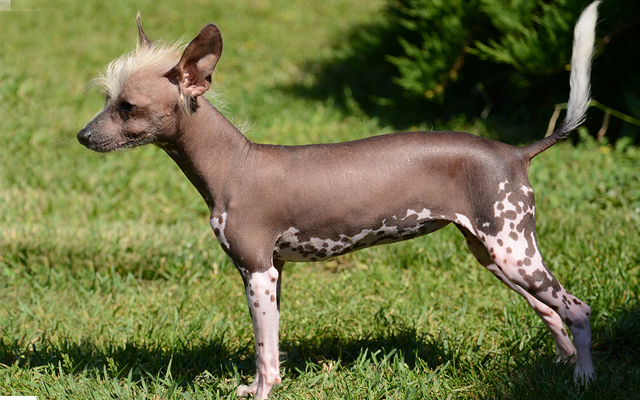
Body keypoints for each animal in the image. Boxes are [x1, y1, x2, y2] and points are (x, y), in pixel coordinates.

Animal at [79, 2, 600, 396]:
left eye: (128, 107)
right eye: (107, 101)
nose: (83, 136)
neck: (235, 163)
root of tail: (515, 152)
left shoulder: (258, 271)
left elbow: (264, 352)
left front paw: (262, 392)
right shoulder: (273, 272)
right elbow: (269, 348)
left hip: (512, 252)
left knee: (577, 309)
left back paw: (585, 379)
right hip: (493, 253)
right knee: (549, 310)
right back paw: (560, 369)